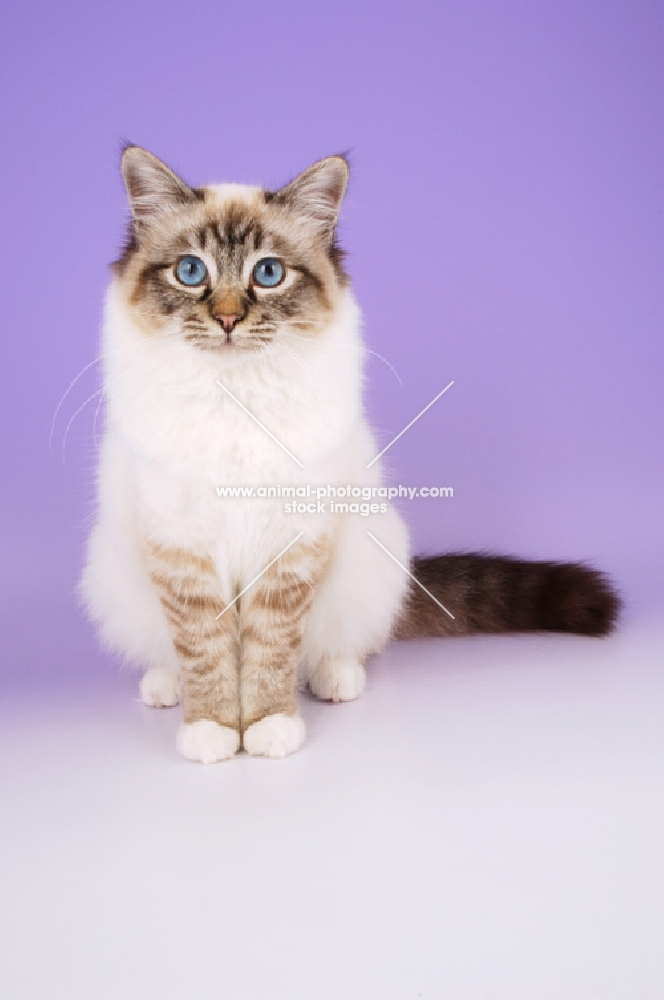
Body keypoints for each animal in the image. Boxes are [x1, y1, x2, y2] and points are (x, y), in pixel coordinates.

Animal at [80, 145, 620, 760]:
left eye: (268, 273)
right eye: (191, 271)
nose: (228, 318)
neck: (235, 400)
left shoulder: (291, 546)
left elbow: (269, 652)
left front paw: (267, 727)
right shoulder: (182, 552)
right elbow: (206, 651)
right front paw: (214, 729)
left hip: (373, 555)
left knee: (341, 646)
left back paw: (335, 679)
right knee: (167, 653)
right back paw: (165, 688)